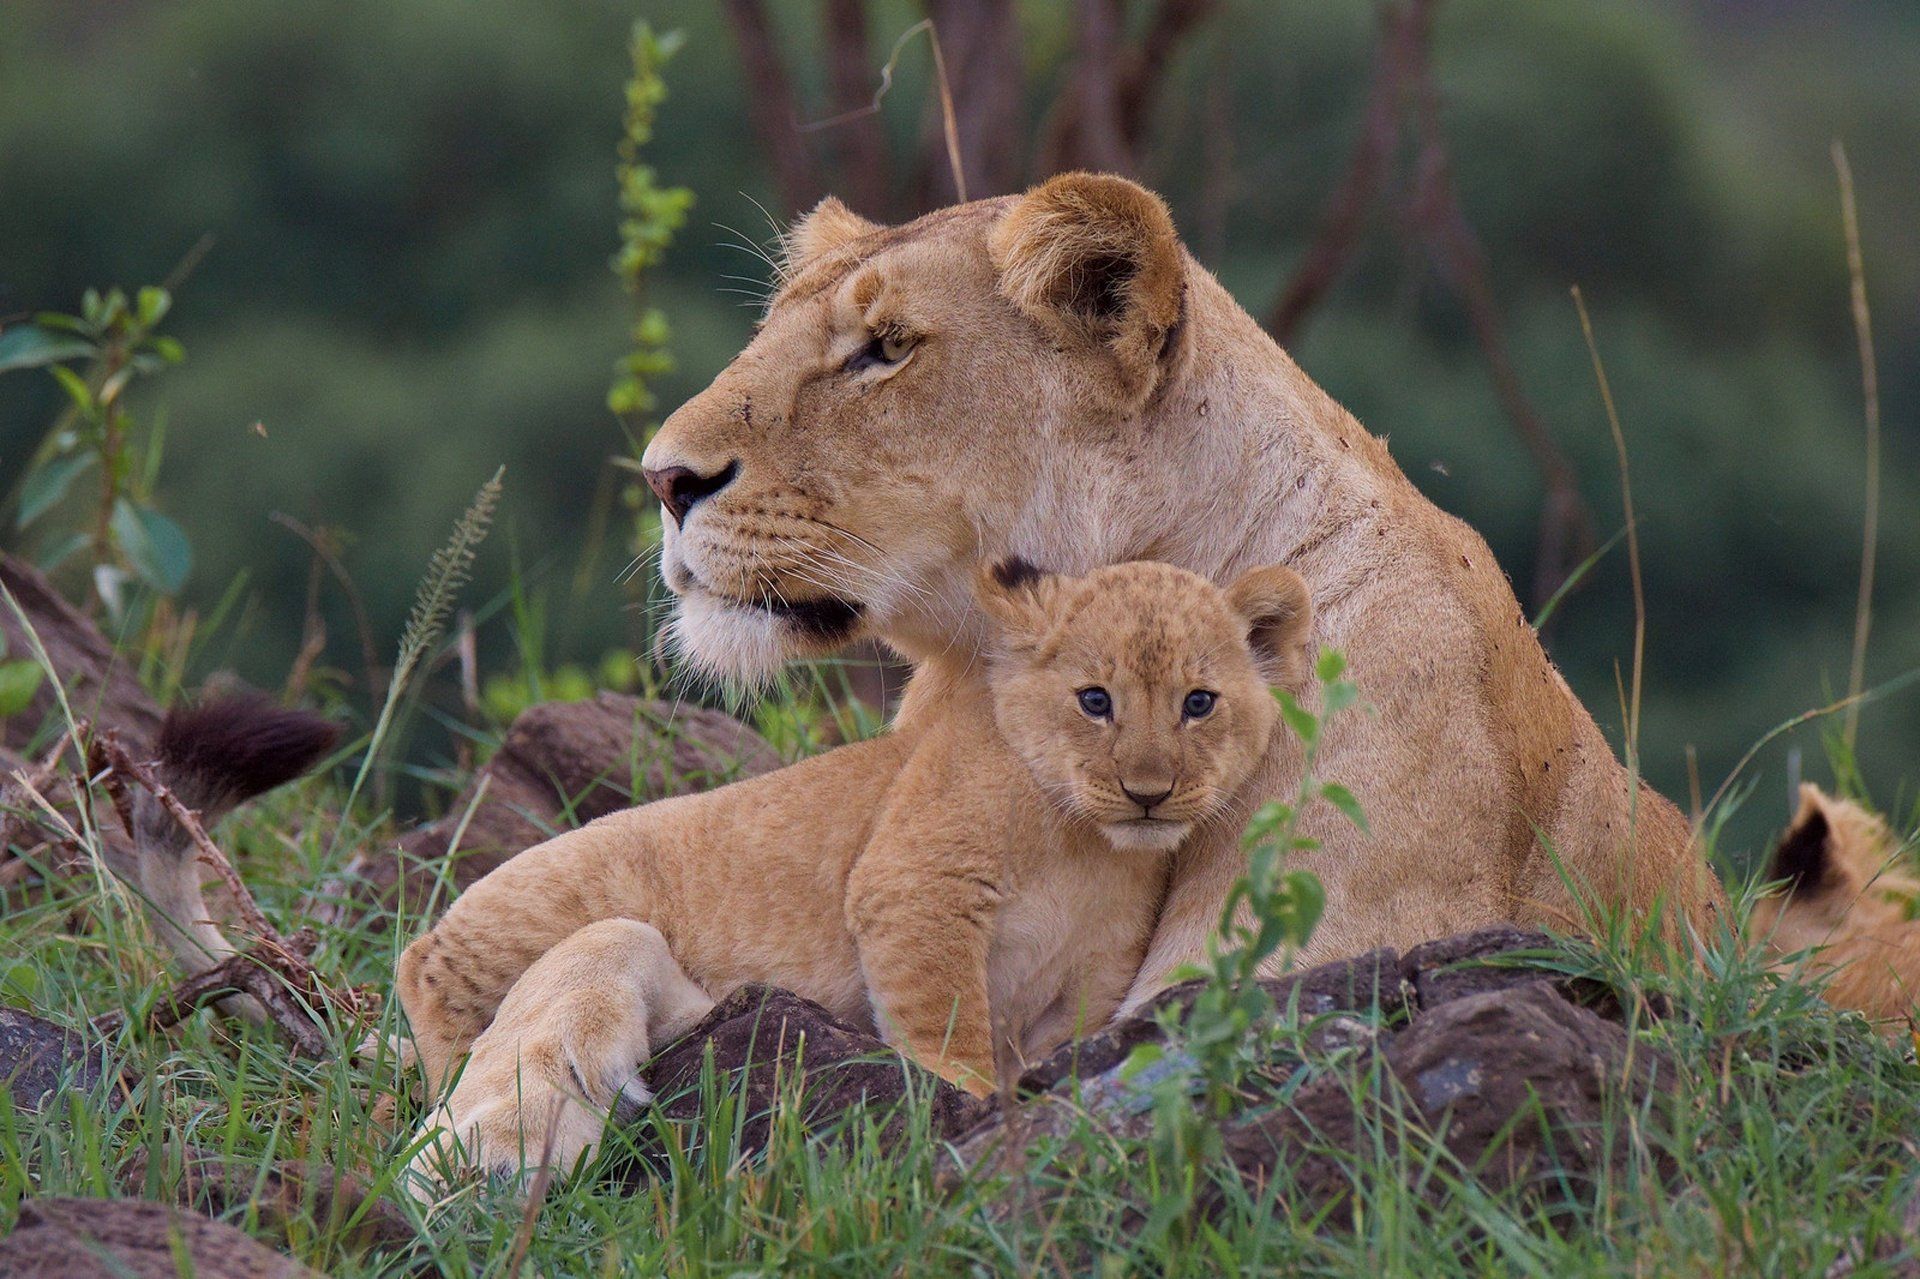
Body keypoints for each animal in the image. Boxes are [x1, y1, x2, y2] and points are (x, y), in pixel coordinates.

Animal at [399, 558, 1312, 1182]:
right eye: (1096, 700)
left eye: (1199, 703)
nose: (1148, 791)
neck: (1086, 844)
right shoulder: (915, 890)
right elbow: (944, 1018)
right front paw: (965, 1100)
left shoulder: (1103, 961)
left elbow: (1065, 1034)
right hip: (561, 894)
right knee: (434, 973)